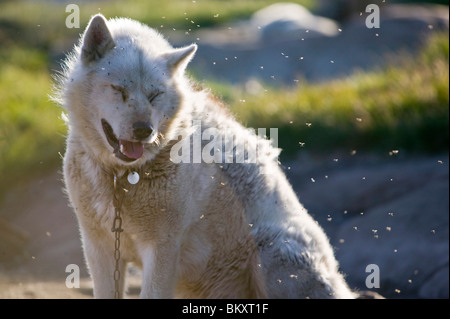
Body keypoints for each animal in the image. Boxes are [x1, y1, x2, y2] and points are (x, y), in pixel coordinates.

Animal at [54, 15, 354, 300]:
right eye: (118, 90)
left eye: (155, 95)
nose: (143, 130)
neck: (121, 179)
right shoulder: (99, 247)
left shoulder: (162, 248)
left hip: (271, 252)